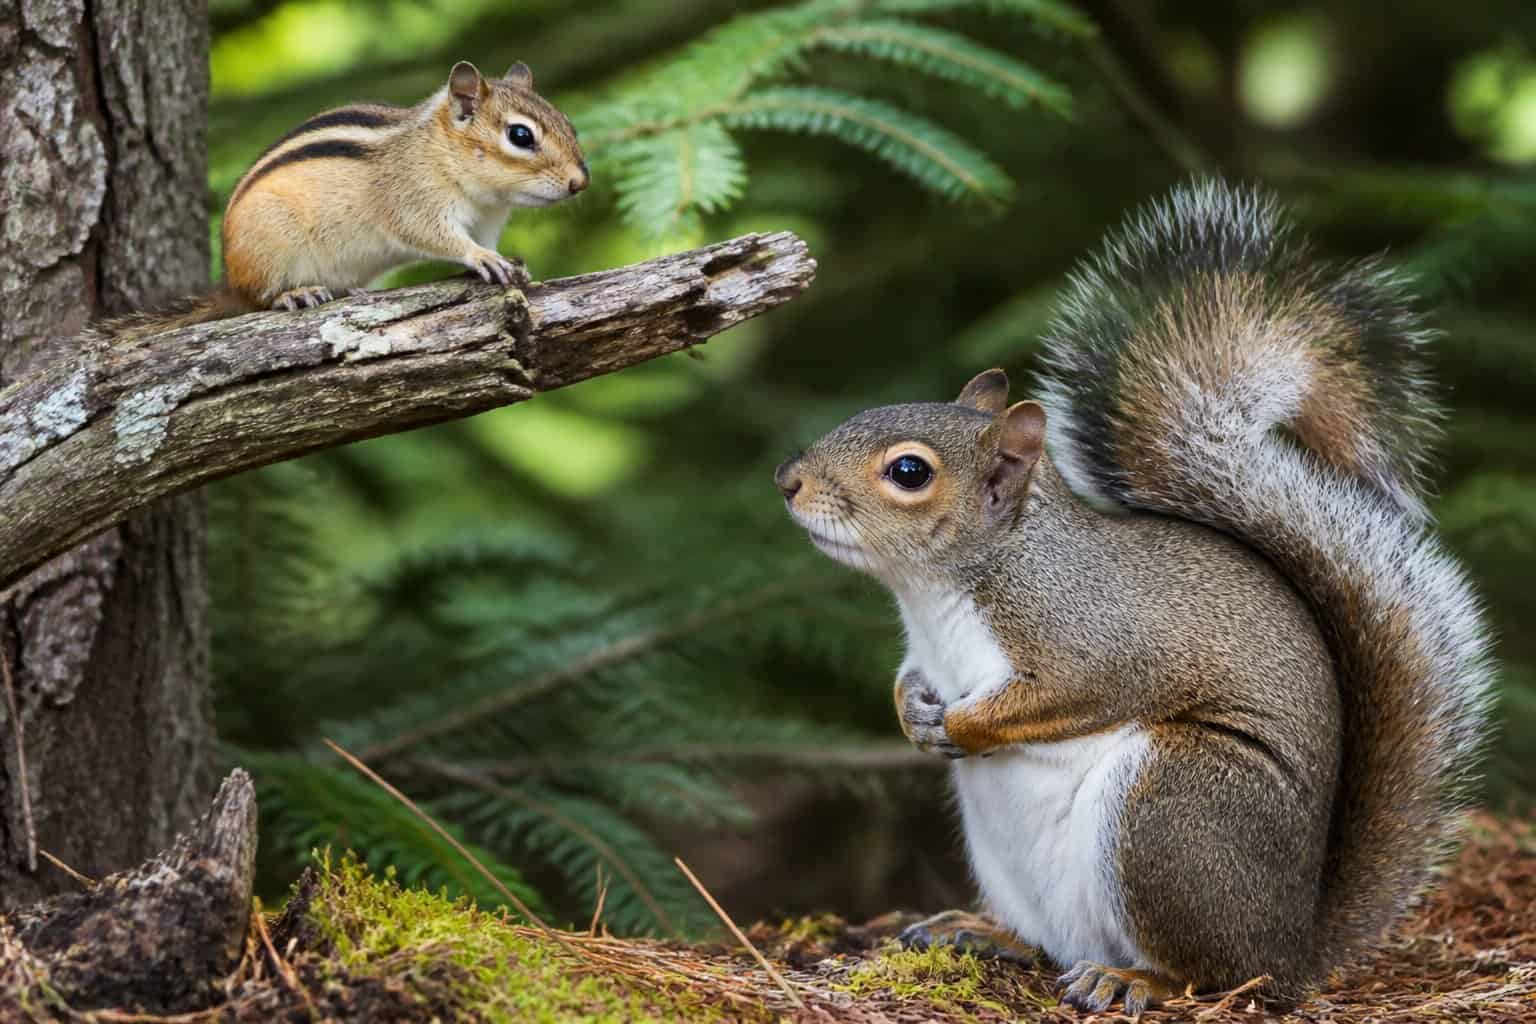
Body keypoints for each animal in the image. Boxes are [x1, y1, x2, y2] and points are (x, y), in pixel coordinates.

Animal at [115, 60, 587, 334]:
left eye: (568, 123)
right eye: (521, 136)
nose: (579, 183)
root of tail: (229, 281)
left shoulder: (488, 219)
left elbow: (487, 242)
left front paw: (511, 264)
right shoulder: (413, 199)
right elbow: (441, 238)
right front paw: (481, 258)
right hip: (269, 245)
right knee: (258, 299)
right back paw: (294, 295)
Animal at [773, 180, 1493, 1016]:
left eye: (910, 472)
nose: (788, 480)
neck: (943, 593)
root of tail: (1292, 949)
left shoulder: (1093, 638)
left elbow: (1076, 690)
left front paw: (963, 723)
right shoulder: (926, 648)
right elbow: (907, 681)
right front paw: (914, 715)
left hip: (1171, 812)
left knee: (1207, 970)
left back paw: (1134, 977)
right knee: (1051, 939)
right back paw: (985, 932)